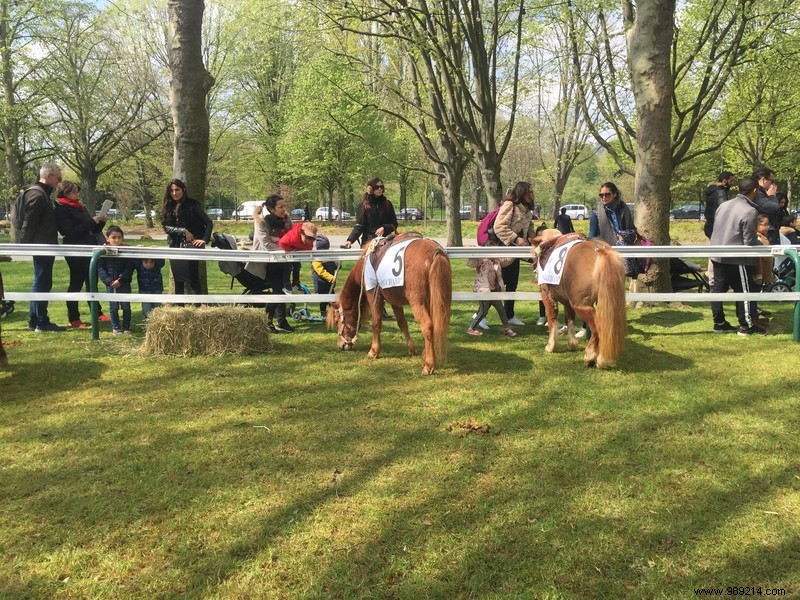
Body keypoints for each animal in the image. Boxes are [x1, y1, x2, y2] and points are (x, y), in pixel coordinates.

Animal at [324, 236, 450, 372]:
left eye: (337, 321)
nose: (340, 346)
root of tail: (435, 251)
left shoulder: (374, 295)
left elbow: (376, 323)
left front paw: (373, 351)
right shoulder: (395, 301)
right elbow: (402, 323)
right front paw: (411, 348)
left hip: (418, 303)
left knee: (427, 327)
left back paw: (429, 364)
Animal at [536, 230, 628, 368]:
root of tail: (600, 251)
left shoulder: (547, 296)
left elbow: (552, 319)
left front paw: (551, 346)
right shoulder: (567, 302)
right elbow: (569, 320)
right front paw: (572, 344)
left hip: (581, 306)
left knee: (598, 328)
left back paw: (592, 356)